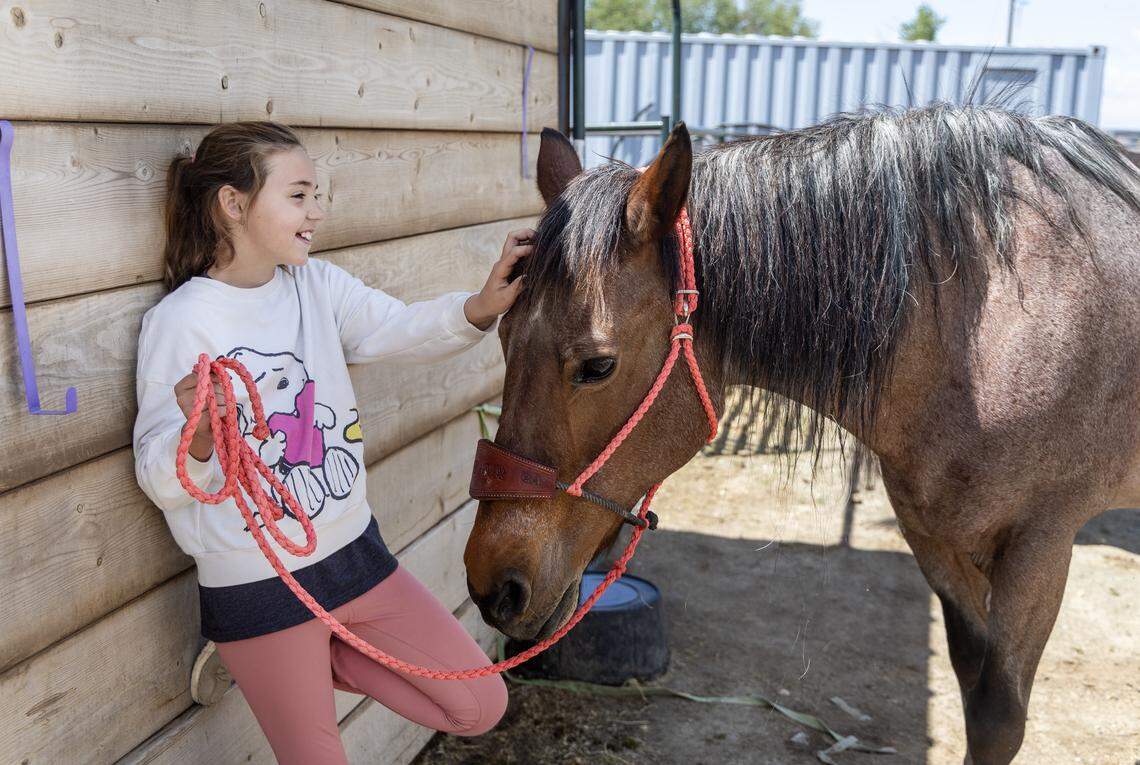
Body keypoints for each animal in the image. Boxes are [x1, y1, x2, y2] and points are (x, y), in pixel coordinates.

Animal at [462, 102, 1140, 764]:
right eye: (501, 336)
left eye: (597, 366)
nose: (492, 584)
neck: (990, 327)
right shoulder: (936, 538)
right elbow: (972, 692)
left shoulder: (1041, 546)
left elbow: (998, 719)